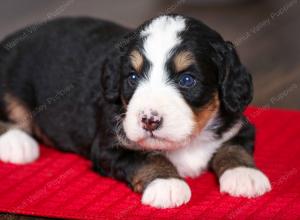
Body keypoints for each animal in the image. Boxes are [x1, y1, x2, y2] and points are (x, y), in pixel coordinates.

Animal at [0, 15, 272, 208]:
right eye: (132, 77)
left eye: (187, 80)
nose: (149, 120)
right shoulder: (110, 146)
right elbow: (147, 157)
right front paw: (166, 183)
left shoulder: (239, 123)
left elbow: (234, 147)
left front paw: (244, 174)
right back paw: (16, 143)